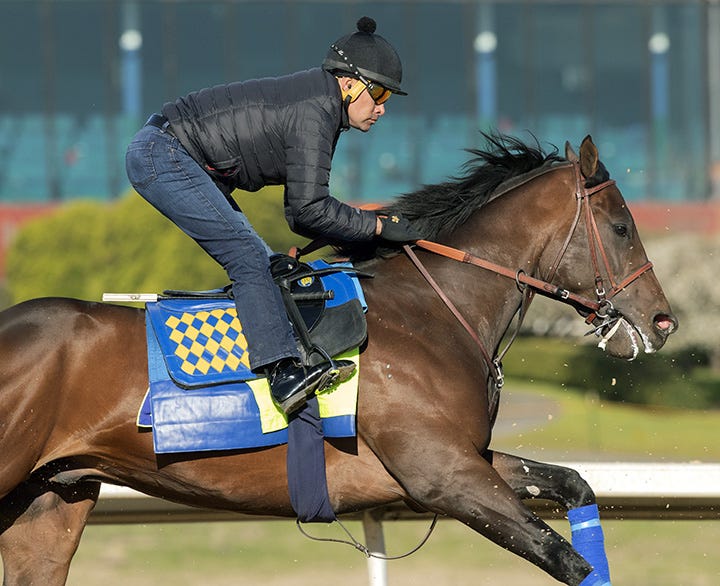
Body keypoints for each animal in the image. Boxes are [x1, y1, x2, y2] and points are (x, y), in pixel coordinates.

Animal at [0, 134, 676, 585]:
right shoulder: (443, 477)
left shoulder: (466, 459)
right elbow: (567, 558)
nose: (662, 321)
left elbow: (572, 482)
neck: (433, 310)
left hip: (52, 501)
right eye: (622, 227)